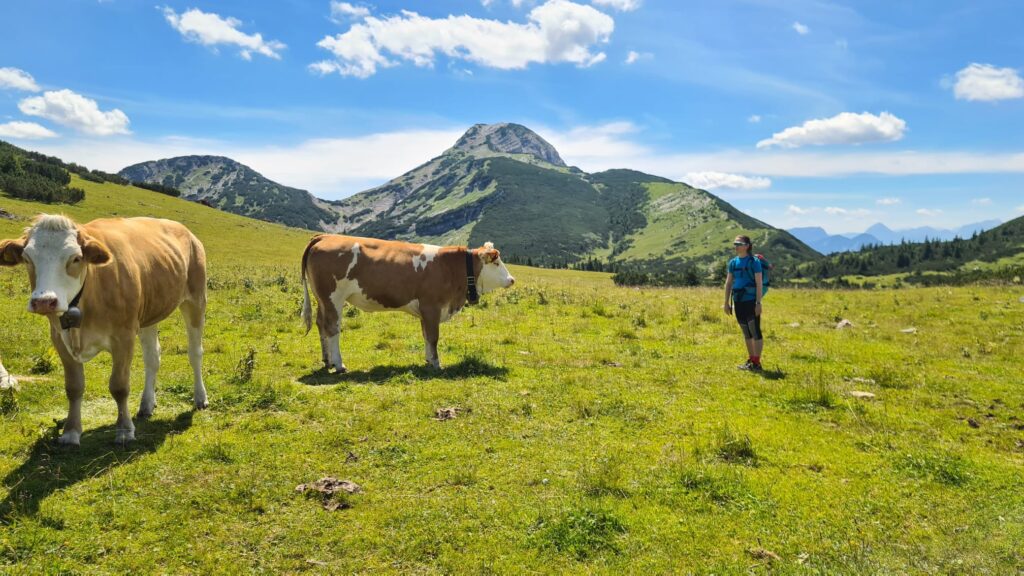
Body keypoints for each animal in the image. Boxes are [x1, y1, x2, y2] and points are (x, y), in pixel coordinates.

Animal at [0, 215, 209, 444]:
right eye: (28, 258)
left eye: (75, 258)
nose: (44, 301)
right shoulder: (59, 338)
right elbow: (73, 387)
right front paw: (71, 432)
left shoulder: (124, 336)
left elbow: (119, 386)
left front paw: (125, 430)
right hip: (149, 311)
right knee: (153, 358)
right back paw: (146, 404)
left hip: (196, 300)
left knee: (195, 353)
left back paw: (200, 398)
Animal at [299, 235, 516, 368]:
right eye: (497, 263)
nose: (512, 279)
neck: (451, 268)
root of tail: (325, 236)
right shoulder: (432, 306)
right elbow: (433, 337)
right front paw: (436, 363)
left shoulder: (425, 310)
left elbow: (426, 336)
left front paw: (428, 360)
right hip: (333, 297)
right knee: (332, 328)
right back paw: (339, 364)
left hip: (322, 299)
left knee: (321, 325)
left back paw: (327, 360)